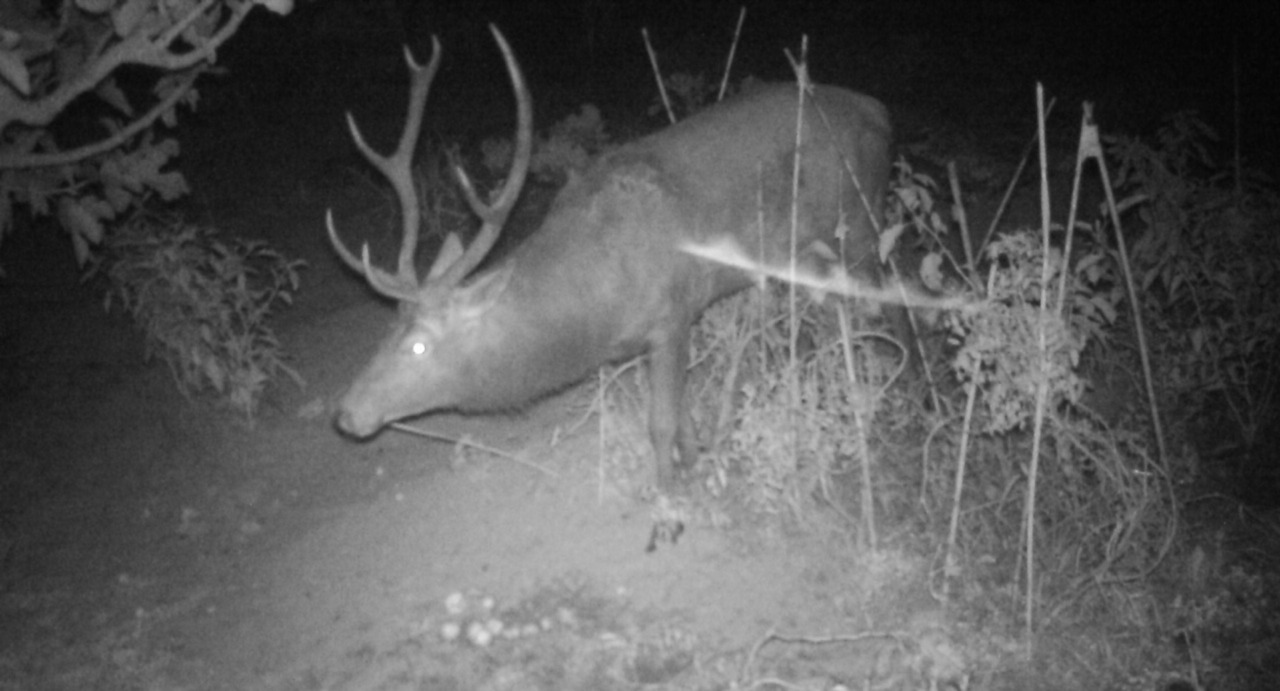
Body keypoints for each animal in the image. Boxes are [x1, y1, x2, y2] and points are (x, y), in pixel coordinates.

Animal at [327, 26, 900, 488]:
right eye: (386, 331)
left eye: (420, 345)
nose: (347, 414)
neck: (594, 305)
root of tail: (879, 108)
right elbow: (680, 413)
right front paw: (695, 462)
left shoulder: (673, 314)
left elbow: (661, 420)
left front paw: (669, 494)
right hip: (812, 250)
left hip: (863, 220)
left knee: (884, 302)